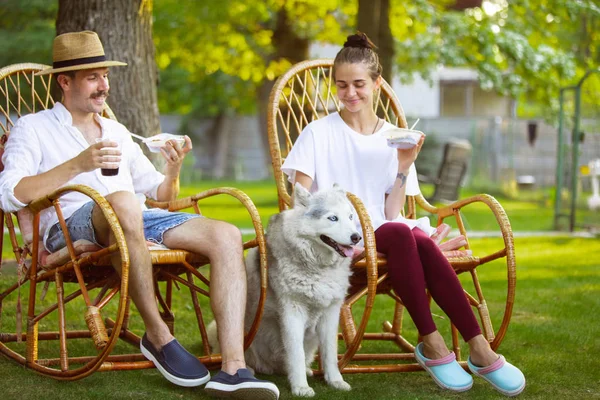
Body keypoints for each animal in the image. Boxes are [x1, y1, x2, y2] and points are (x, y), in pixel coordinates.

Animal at [209, 184, 358, 396]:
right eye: (333, 218)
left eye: (350, 216)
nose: (357, 237)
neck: (317, 267)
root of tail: (269, 367)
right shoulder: (292, 312)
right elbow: (296, 353)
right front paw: (300, 387)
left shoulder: (330, 314)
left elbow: (330, 353)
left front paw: (335, 381)